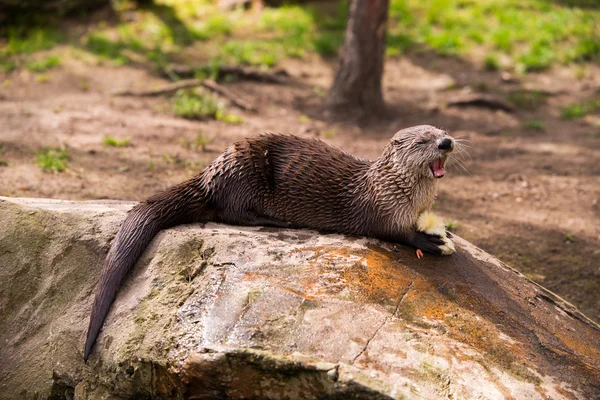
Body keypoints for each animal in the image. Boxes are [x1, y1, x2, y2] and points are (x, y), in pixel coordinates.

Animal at [83, 124, 454, 360]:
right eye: (424, 140)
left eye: (442, 132)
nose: (447, 142)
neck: (401, 192)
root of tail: (209, 173)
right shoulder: (383, 212)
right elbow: (398, 234)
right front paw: (435, 242)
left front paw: (445, 232)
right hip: (244, 175)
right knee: (231, 212)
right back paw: (276, 220)